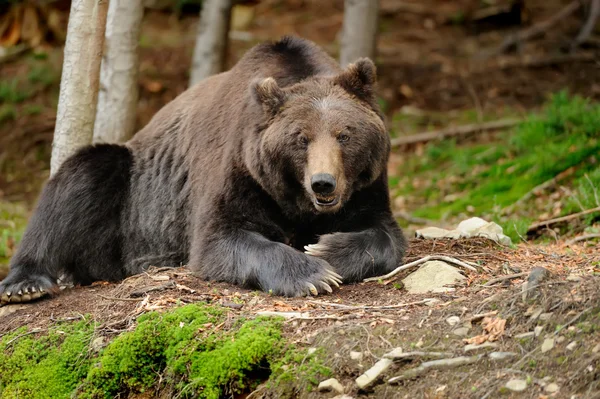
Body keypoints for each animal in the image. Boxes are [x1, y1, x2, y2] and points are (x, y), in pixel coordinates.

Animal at [0, 36, 408, 304]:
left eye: (344, 134)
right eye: (301, 138)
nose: (323, 184)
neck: (295, 201)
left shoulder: (366, 186)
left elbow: (385, 235)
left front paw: (325, 249)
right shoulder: (241, 173)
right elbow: (220, 239)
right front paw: (312, 274)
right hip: (130, 197)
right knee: (82, 176)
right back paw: (25, 283)